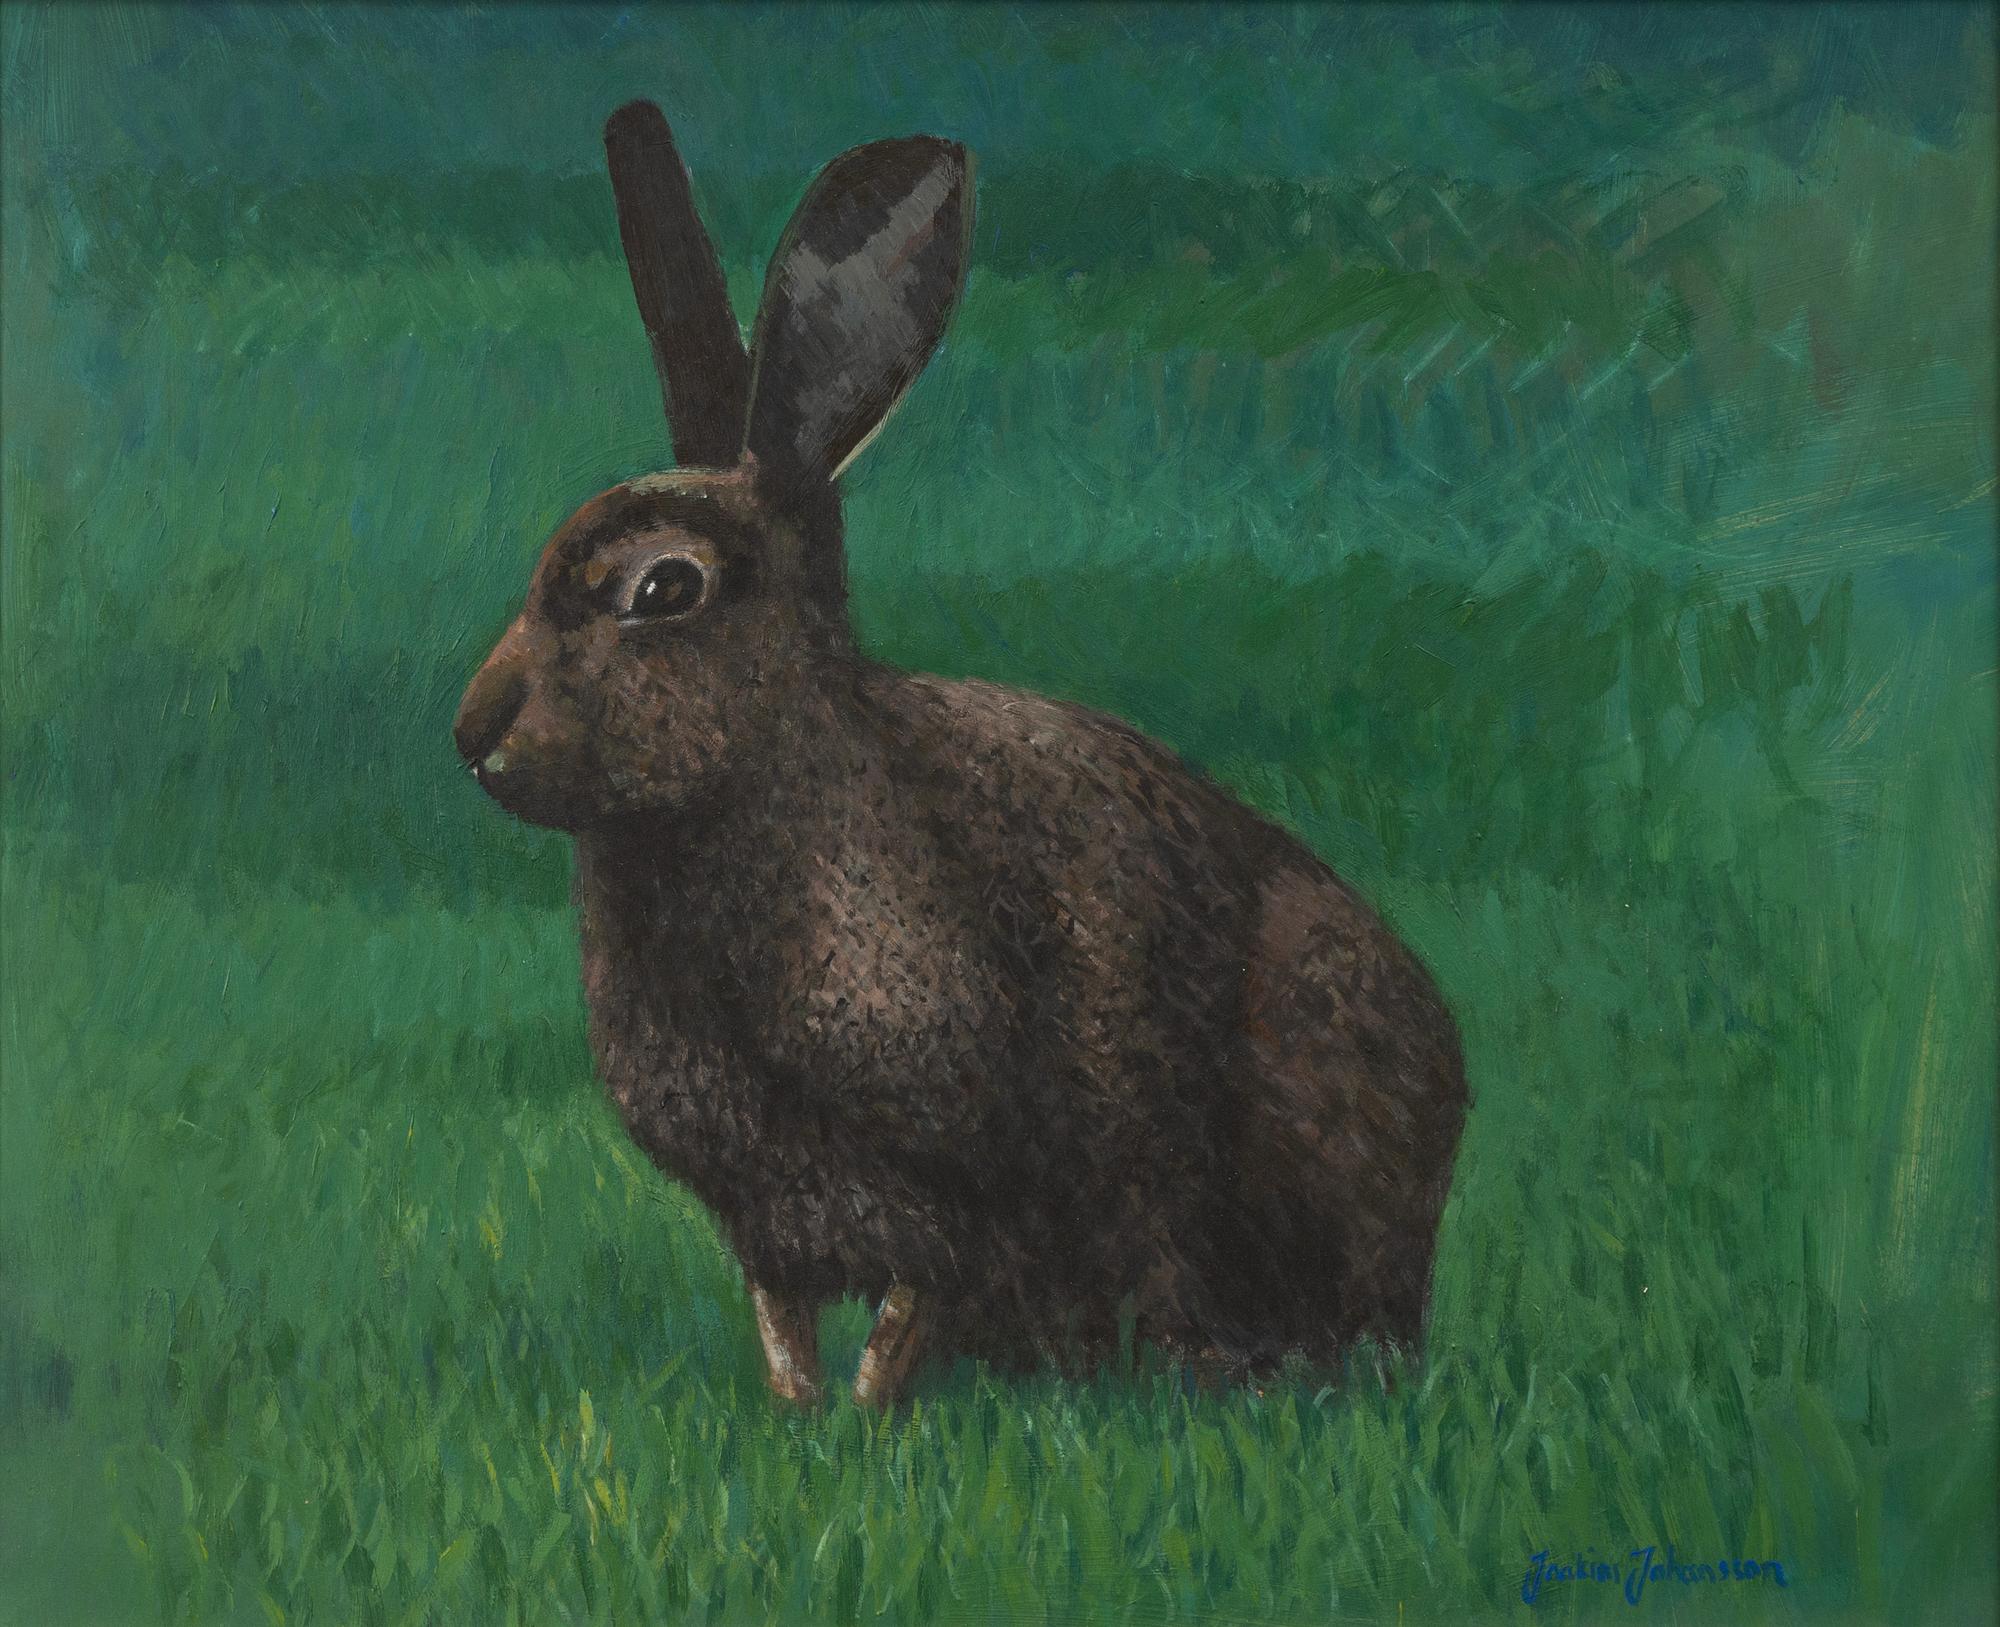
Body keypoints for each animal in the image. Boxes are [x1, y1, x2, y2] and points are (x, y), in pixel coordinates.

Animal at [453, 101, 1468, 1407]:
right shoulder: (762, 1212)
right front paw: (796, 1416)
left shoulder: (957, 1179)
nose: (474, 732)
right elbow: (784, 1319)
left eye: (664, 589)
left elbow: (905, 1310)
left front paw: (862, 1422)